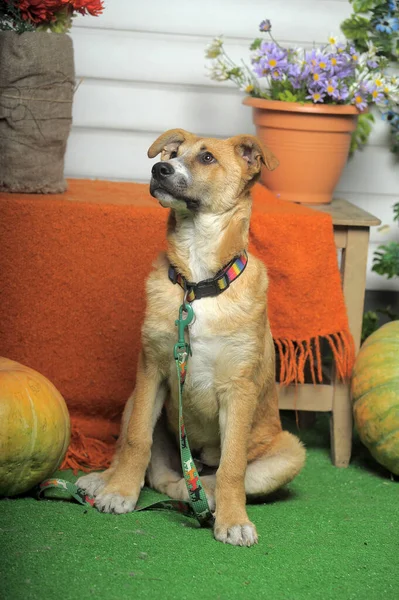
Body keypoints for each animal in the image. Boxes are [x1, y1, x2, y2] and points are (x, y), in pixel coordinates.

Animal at [79, 129, 310, 548]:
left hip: (290, 451)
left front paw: (233, 521)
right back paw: (106, 481)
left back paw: (208, 498)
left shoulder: (238, 390)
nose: (159, 169)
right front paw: (120, 492)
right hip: (133, 399)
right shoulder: (151, 371)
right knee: (156, 471)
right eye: (171, 154)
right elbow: (136, 440)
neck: (198, 283)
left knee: (211, 479)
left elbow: (232, 467)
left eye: (206, 158)